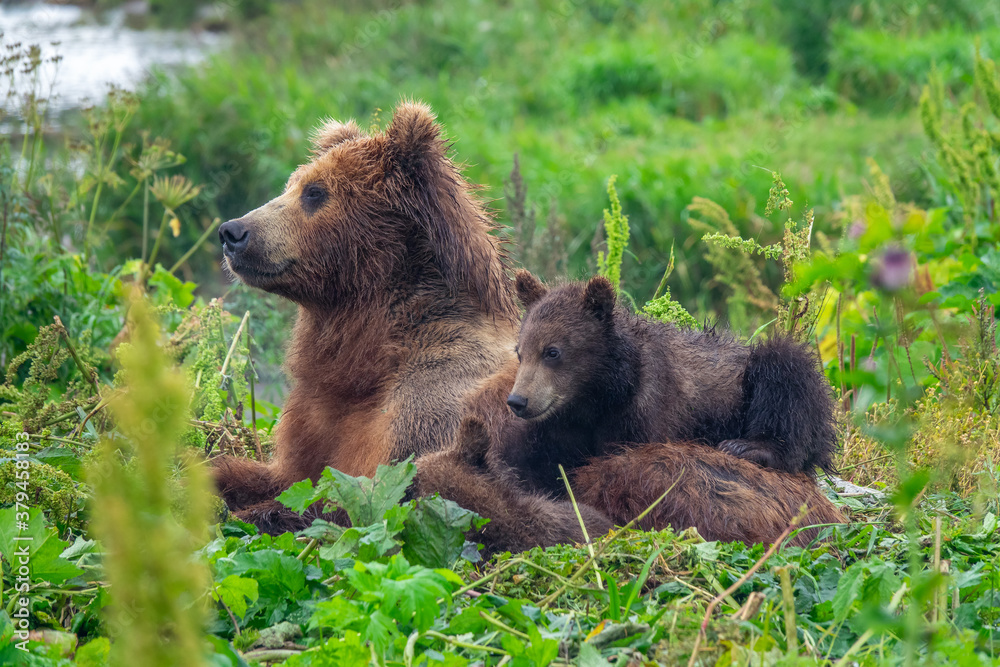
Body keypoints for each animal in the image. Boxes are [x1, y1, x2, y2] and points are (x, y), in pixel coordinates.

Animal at [212, 102, 521, 532]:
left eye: (315, 192)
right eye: (292, 184)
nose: (233, 231)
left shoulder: (427, 412)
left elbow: (354, 504)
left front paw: (250, 512)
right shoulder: (317, 414)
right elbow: (288, 473)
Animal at [490, 271, 837, 494]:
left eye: (552, 351)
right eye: (520, 351)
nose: (518, 401)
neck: (603, 392)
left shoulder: (647, 410)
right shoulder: (565, 423)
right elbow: (543, 460)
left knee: (786, 377)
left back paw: (750, 446)